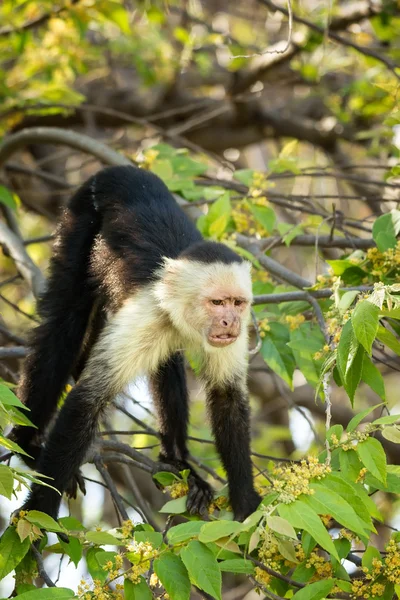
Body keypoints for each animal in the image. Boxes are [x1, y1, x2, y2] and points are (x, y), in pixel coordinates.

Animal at [10, 164, 262, 520]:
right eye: (217, 303)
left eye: (237, 303)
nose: (231, 321)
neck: (177, 306)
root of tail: (119, 170)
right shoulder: (146, 313)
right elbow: (86, 400)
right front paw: (40, 512)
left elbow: (227, 396)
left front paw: (247, 507)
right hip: (80, 214)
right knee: (64, 325)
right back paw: (27, 445)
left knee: (166, 362)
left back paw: (175, 461)